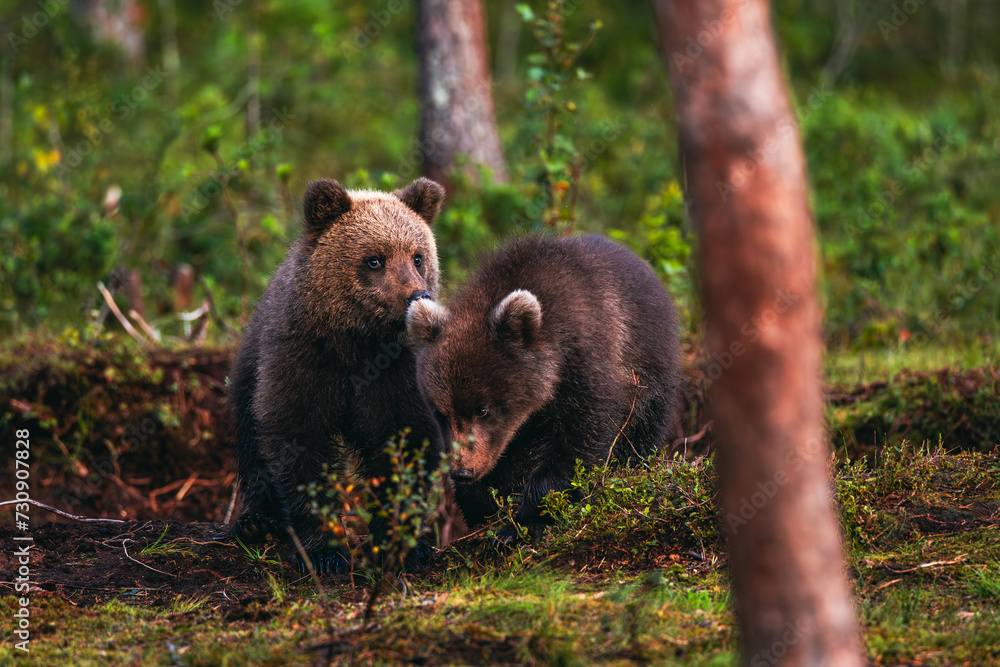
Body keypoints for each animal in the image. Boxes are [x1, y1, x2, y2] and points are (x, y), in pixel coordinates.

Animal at [229, 176, 446, 573]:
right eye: (374, 259)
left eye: (418, 256)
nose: (416, 295)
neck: (357, 341)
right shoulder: (302, 359)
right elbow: (298, 439)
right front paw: (324, 550)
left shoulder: (398, 373)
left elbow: (406, 440)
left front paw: (402, 544)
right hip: (249, 370)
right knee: (251, 440)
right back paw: (257, 522)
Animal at [406, 234, 682, 543]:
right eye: (441, 413)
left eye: (483, 409)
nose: (463, 471)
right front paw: (482, 501)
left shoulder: (587, 358)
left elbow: (579, 436)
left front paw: (526, 520)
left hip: (648, 361)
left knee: (645, 420)